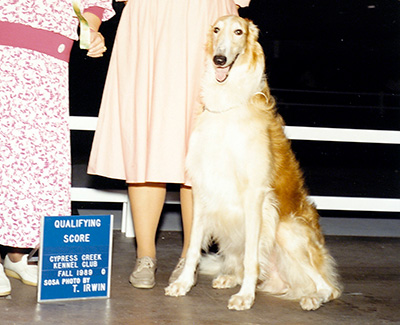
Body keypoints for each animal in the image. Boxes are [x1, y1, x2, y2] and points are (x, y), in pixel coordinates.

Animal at [164, 14, 342, 308]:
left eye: (239, 32)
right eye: (216, 29)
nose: (219, 59)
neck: (226, 105)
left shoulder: (255, 195)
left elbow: (251, 257)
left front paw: (245, 297)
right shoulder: (202, 189)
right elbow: (192, 248)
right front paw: (183, 283)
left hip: (285, 230)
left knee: (329, 287)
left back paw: (313, 298)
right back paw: (229, 278)